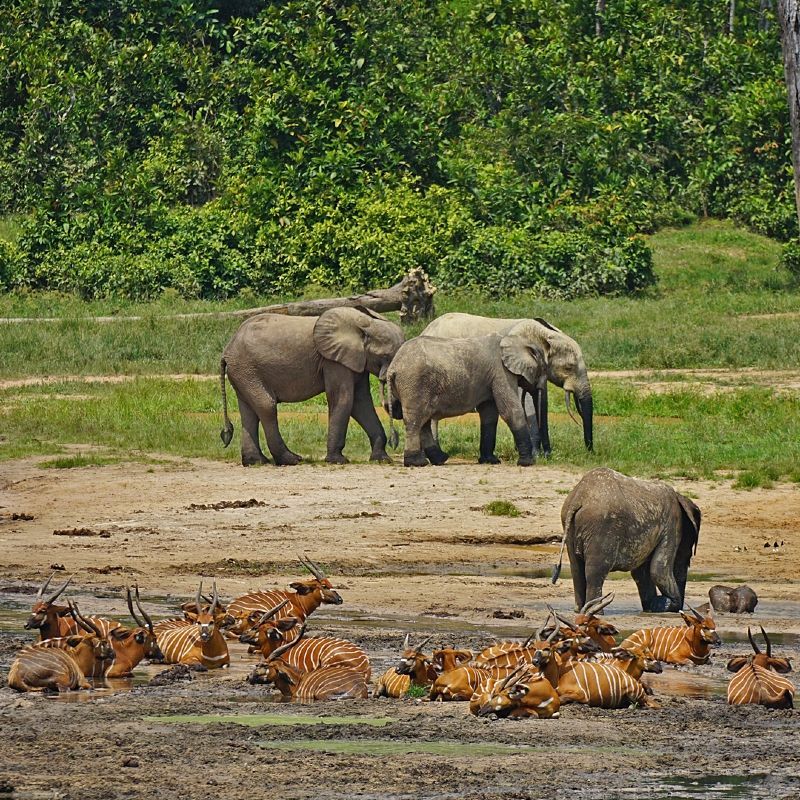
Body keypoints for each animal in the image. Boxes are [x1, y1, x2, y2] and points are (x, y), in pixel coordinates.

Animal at [219, 307, 404, 465]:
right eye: (386, 356)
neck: (364, 324)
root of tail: (227, 349)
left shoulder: (356, 361)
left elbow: (361, 403)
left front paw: (382, 459)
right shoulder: (333, 361)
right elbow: (343, 399)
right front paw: (337, 460)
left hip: (244, 373)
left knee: (249, 411)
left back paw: (256, 462)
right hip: (247, 370)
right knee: (266, 406)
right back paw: (291, 460)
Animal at [383, 331, 546, 466]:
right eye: (544, 367)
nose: (541, 455)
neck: (514, 339)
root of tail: (393, 367)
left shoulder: (490, 377)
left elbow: (489, 414)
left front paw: (490, 461)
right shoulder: (501, 372)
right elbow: (510, 411)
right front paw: (527, 463)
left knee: (423, 421)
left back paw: (440, 459)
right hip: (415, 383)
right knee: (416, 420)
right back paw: (417, 463)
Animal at [420, 313, 592, 456]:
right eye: (569, 367)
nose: (589, 452)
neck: (543, 334)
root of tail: (426, 328)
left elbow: (540, 401)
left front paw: (541, 454)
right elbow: (527, 403)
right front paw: (536, 454)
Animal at [555, 468, 701, 612]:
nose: (681, 610)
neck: (680, 497)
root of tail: (578, 498)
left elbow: (641, 573)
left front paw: (652, 607)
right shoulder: (672, 525)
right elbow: (658, 569)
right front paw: (665, 605)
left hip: (570, 526)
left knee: (577, 570)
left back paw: (579, 611)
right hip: (601, 527)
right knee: (596, 571)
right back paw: (595, 611)